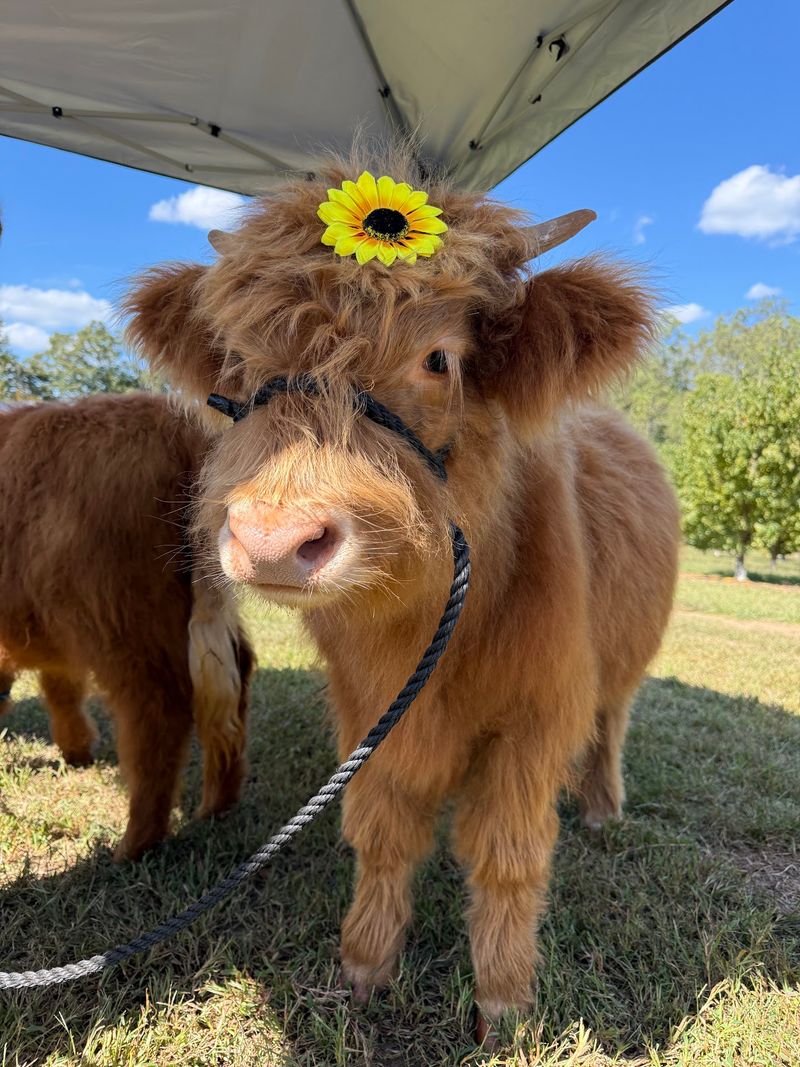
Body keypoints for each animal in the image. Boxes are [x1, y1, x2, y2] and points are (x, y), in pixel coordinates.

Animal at [0, 393, 254, 860]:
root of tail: (173, 423)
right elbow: (61, 689)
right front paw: (78, 750)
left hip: (122, 616)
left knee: (158, 708)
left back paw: (135, 844)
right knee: (236, 676)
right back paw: (217, 806)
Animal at [125, 145, 679, 1036]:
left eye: (439, 358)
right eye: (242, 362)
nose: (275, 538)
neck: (427, 626)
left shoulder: (537, 715)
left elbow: (508, 854)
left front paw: (505, 1001)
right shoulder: (368, 711)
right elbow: (381, 831)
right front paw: (365, 963)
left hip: (625, 666)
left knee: (611, 724)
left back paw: (601, 804)